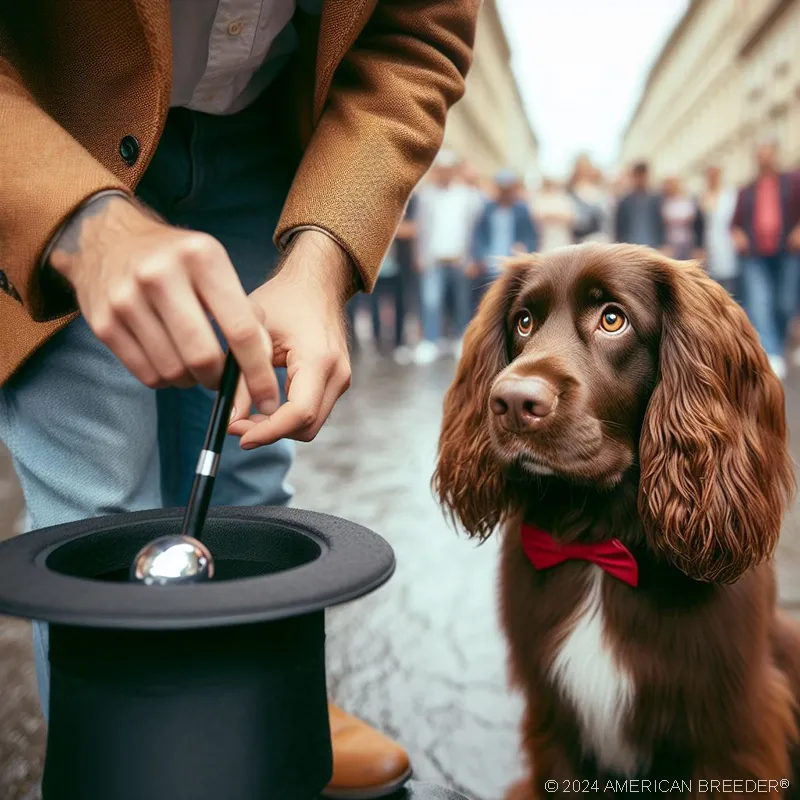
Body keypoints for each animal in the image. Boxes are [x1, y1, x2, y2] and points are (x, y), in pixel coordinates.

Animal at [434, 242, 800, 792]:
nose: (512, 402)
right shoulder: (553, 725)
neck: (598, 546)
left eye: (613, 319)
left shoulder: (732, 732)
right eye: (523, 321)